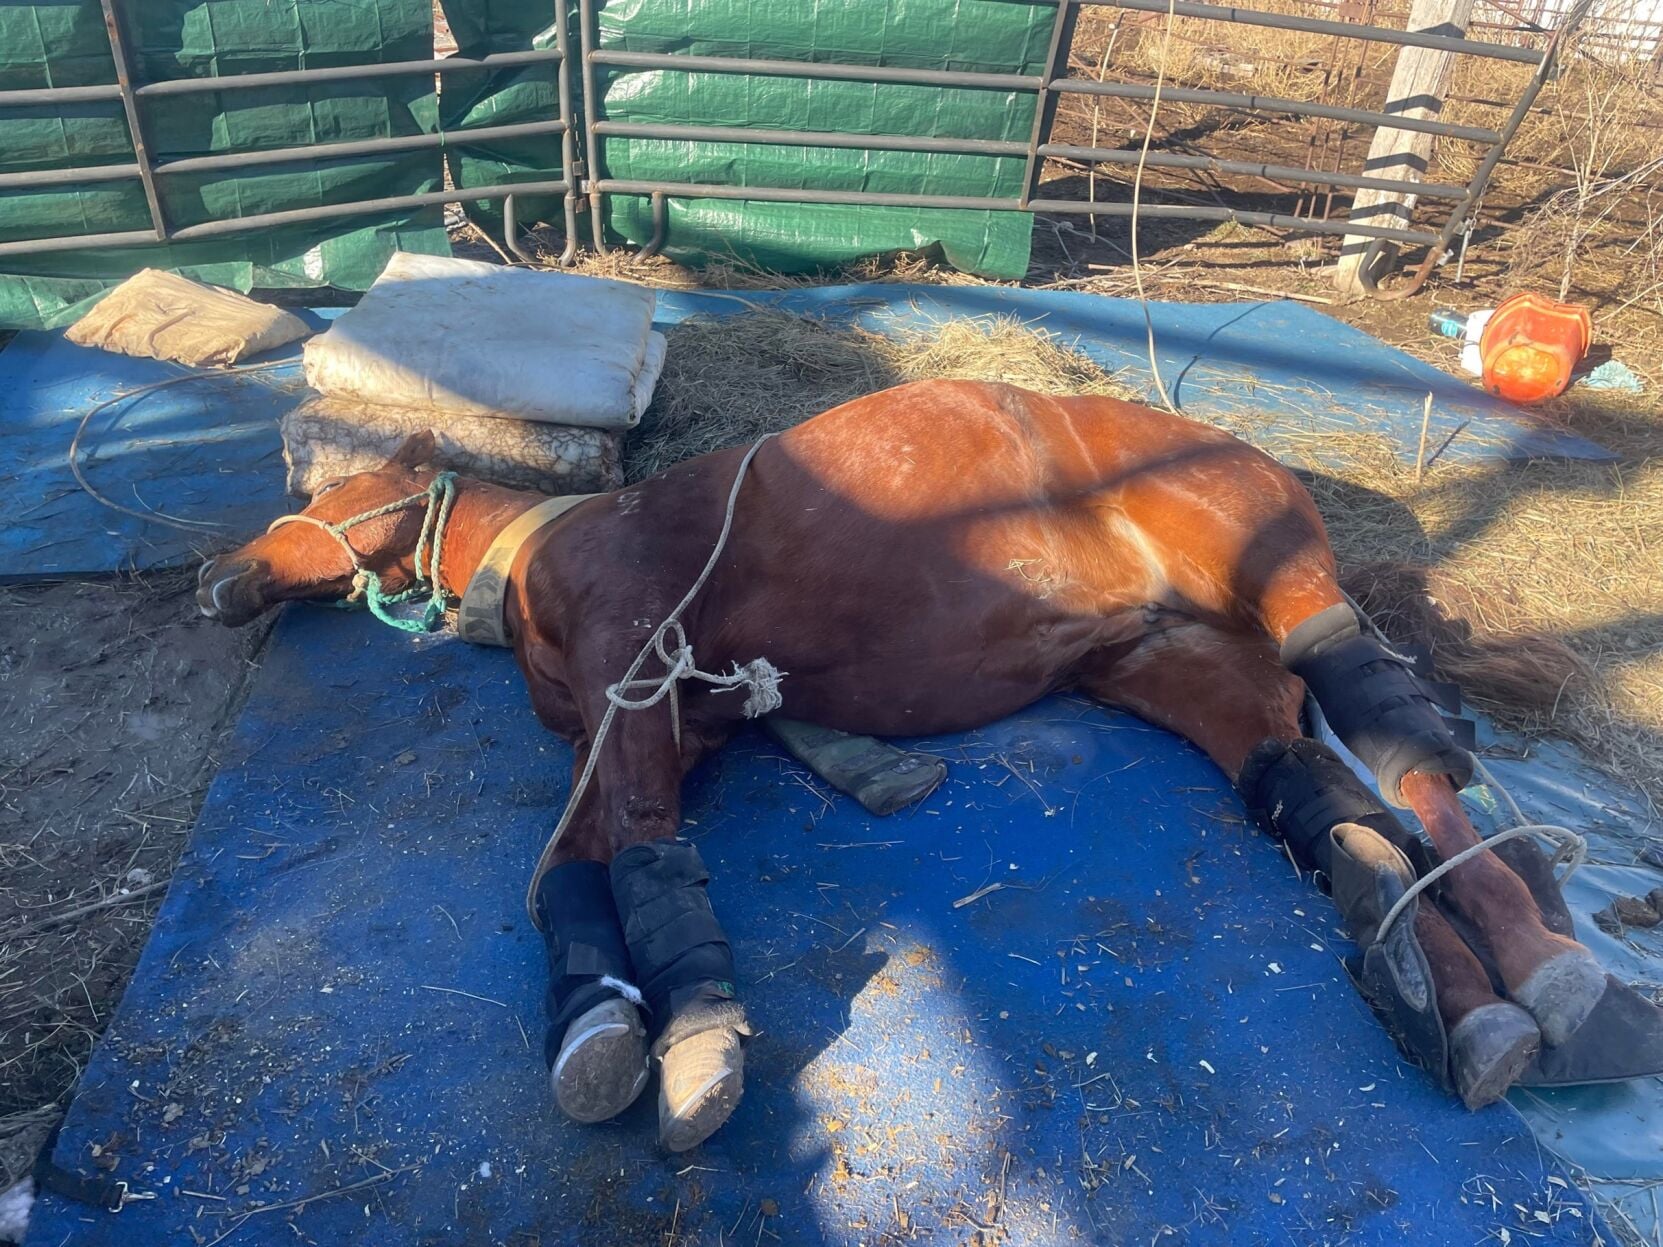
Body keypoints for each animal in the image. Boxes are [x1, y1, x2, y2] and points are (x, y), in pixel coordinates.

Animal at [197, 379, 1612, 1152]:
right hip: (1157, 654)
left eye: (317, 500)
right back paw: (1441, 977)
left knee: (1403, 746)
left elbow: (628, 850)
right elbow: (583, 872)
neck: (551, 551)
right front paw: (598, 1016)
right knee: (1304, 766)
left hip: (1277, 577)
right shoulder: (673, 720)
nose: (218, 577)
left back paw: (1544, 966)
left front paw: (691, 1035)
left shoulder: (632, 685)